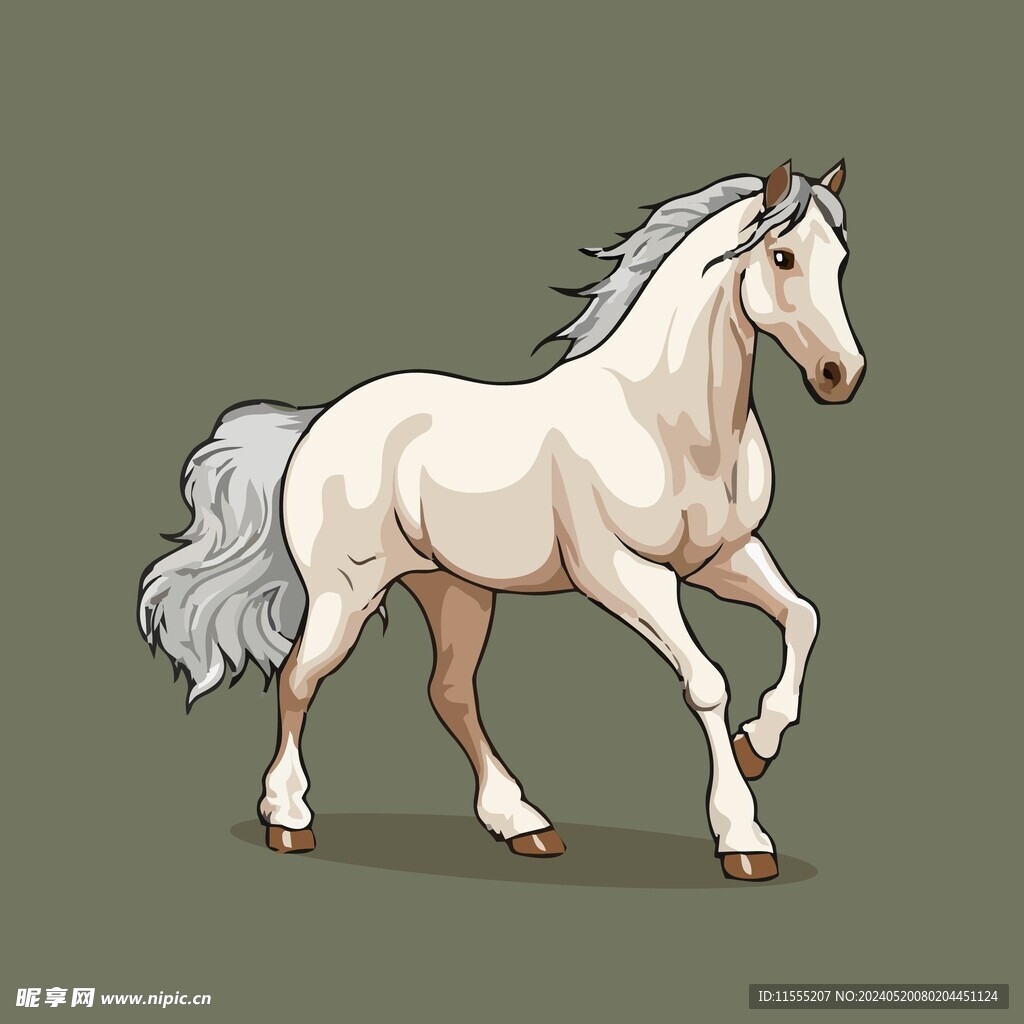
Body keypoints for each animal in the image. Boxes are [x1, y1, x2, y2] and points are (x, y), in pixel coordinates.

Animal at [139, 160, 864, 881]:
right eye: (782, 256)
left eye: (841, 260)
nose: (842, 376)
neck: (668, 422)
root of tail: (318, 421)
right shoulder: (625, 574)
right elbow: (708, 683)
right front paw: (744, 838)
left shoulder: (725, 557)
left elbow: (803, 617)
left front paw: (756, 747)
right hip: (346, 591)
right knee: (300, 678)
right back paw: (289, 821)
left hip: (453, 587)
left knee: (449, 692)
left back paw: (524, 825)